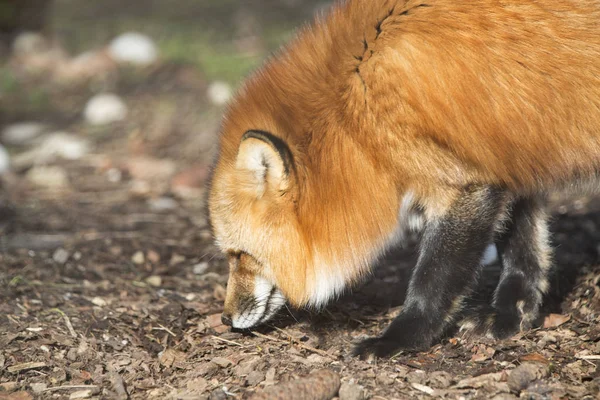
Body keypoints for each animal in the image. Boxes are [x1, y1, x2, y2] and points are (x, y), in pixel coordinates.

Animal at [209, 0, 600, 358]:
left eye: (239, 255)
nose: (225, 319)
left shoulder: (462, 183)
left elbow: (433, 278)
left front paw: (400, 338)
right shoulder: (505, 155)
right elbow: (522, 248)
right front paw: (510, 316)